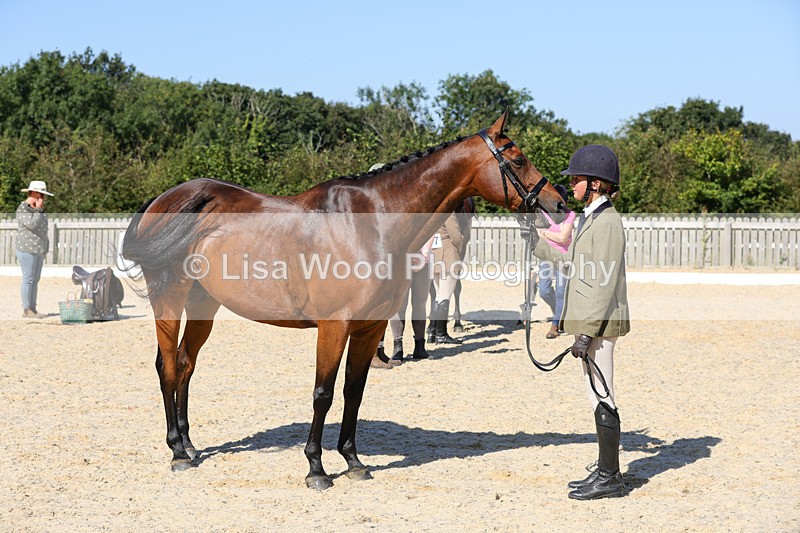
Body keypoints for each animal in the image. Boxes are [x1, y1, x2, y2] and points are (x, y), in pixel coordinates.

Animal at [121, 111, 566, 490]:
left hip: (204, 305)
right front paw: (316, 468)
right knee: (167, 367)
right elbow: (324, 393)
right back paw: (177, 451)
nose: (558, 204)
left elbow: (354, 391)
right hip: (169, 297)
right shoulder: (334, 326)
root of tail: (162, 200)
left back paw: (190, 445)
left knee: (185, 363)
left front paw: (353, 462)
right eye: (520, 159)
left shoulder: (369, 328)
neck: (371, 222)